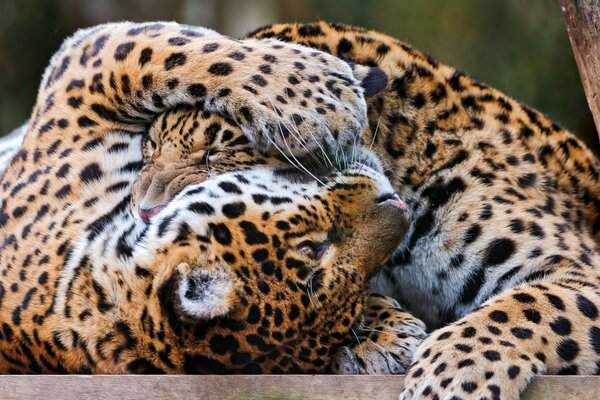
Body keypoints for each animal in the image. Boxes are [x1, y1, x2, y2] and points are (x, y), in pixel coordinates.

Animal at [0, 21, 426, 376]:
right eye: (313, 247)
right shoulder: (83, 75)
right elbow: (175, 50)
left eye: (359, 289)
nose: (399, 208)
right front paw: (321, 97)